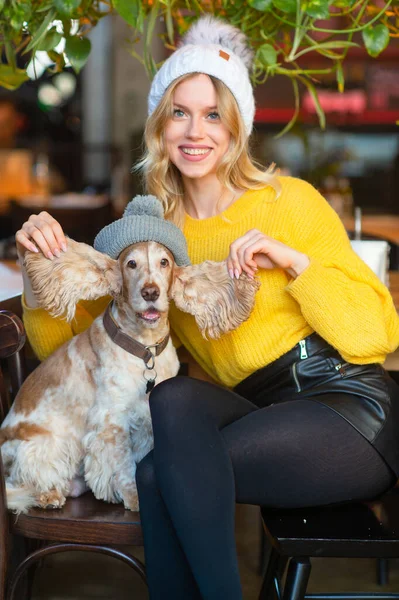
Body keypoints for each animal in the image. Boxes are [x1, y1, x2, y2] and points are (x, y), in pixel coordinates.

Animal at [0, 238, 260, 510]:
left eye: (164, 262)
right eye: (131, 264)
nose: (150, 292)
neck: (145, 348)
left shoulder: (147, 417)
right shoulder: (112, 420)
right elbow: (123, 466)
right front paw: (134, 498)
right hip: (43, 445)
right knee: (21, 480)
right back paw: (47, 494)